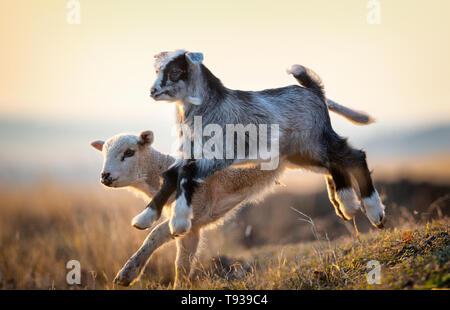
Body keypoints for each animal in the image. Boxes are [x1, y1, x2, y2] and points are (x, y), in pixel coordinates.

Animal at [90, 130, 286, 286]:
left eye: (129, 152)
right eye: (104, 154)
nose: (105, 176)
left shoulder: (195, 211)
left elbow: (155, 234)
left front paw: (127, 274)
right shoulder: (192, 228)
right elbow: (182, 265)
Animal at [144, 49, 386, 236]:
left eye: (175, 72)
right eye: (157, 71)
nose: (153, 91)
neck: (208, 107)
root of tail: (315, 92)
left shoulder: (219, 155)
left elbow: (186, 173)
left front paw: (179, 222)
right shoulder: (190, 153)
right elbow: (171, 175)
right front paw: (145, 218)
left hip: (315, 140)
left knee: (354, 156)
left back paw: (374, 212)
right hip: (302, 153)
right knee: (334, 164)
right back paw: (348, 204)